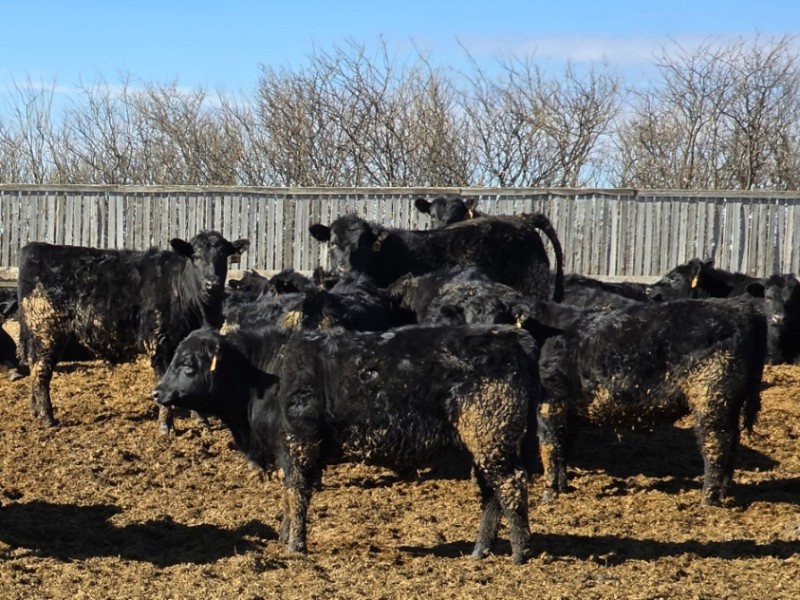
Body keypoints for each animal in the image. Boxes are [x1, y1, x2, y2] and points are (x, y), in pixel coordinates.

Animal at [17, 231, 249, 432]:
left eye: (224, 257)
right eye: (196, 257)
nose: (212, 283)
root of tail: (36, 248)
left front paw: (201, 420)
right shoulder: (160, 346)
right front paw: (166, 426)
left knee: (35, 368)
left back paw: (35, 410)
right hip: (46, 332)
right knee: (41, 373)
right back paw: (47, 418)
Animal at [152, 324, 542, 563]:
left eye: (187, 364)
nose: (157, 392)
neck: (267, 374)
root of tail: (511, 337)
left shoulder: (299, 445)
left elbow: (297, 493)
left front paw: (295, 545)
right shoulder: (287, 451)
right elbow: (289, 495)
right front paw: (284, 536)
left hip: (492, 437)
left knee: (510, 485)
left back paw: (520, 551)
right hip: (484, 446)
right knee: (492, 493)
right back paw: (480, 550)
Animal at [518, 296, 765, 506]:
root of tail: (741, 308)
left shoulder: (550, 406)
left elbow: (550, 449)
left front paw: (548, 496)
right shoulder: (567, 414)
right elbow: (562, 451)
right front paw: (563, 488)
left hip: (710, 398)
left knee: (716, 443)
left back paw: (707, 499)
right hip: (731, 404)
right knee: (732, 442)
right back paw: (724, 492)